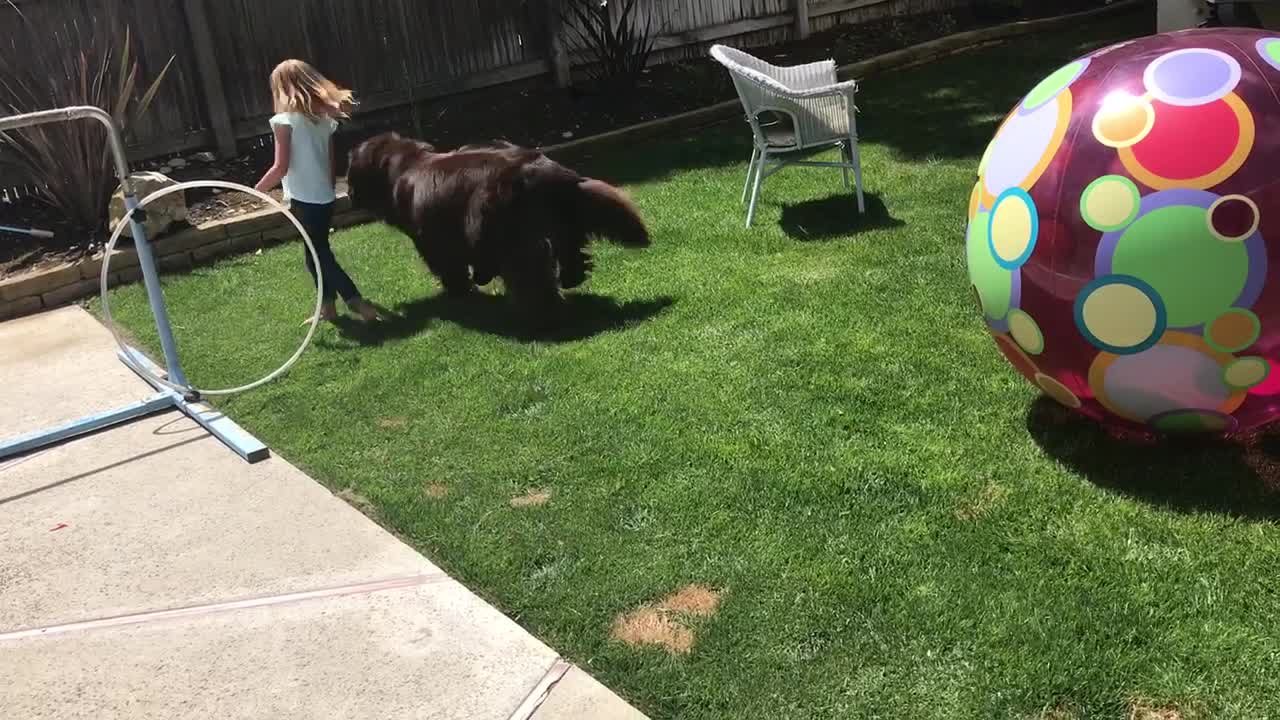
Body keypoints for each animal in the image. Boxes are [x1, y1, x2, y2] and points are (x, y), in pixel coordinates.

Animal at [345, 133, 650, 324]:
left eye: (350, 175)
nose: (348, 194)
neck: (403, 166)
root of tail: (546, 170)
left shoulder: (432, 242)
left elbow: (451, 269)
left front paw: (460, 291)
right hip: (562, 218)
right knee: (570, 249)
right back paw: (570, 280)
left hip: (511, 236)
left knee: (532, 279)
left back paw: (543, 315)